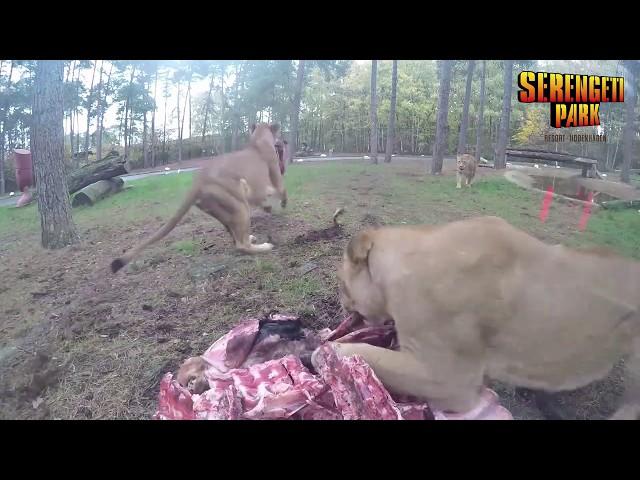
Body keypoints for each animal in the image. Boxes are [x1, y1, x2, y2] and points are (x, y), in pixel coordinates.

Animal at [110, 123, 288, 274]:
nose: (284, 141)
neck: (258, 139)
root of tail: (197, 183)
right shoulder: (274, 178)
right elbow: (281, 191)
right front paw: (282, 205)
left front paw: (268, 207)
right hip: (240, 205)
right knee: (241, 245)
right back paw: (265, 246)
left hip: (228, 209)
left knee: (235, 236)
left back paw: (252, 238)